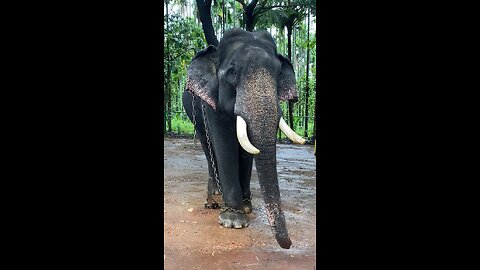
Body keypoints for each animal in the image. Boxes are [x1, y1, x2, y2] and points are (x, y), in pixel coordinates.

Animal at [182, 28, 306, 250]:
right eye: (232, 73)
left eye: (278, 74)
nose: (289, 245)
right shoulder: (212, 102)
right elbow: (224, 144)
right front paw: (233, 221)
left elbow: (247, 151)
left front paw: (247, 207)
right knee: (207, 145)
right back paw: (215, 195)